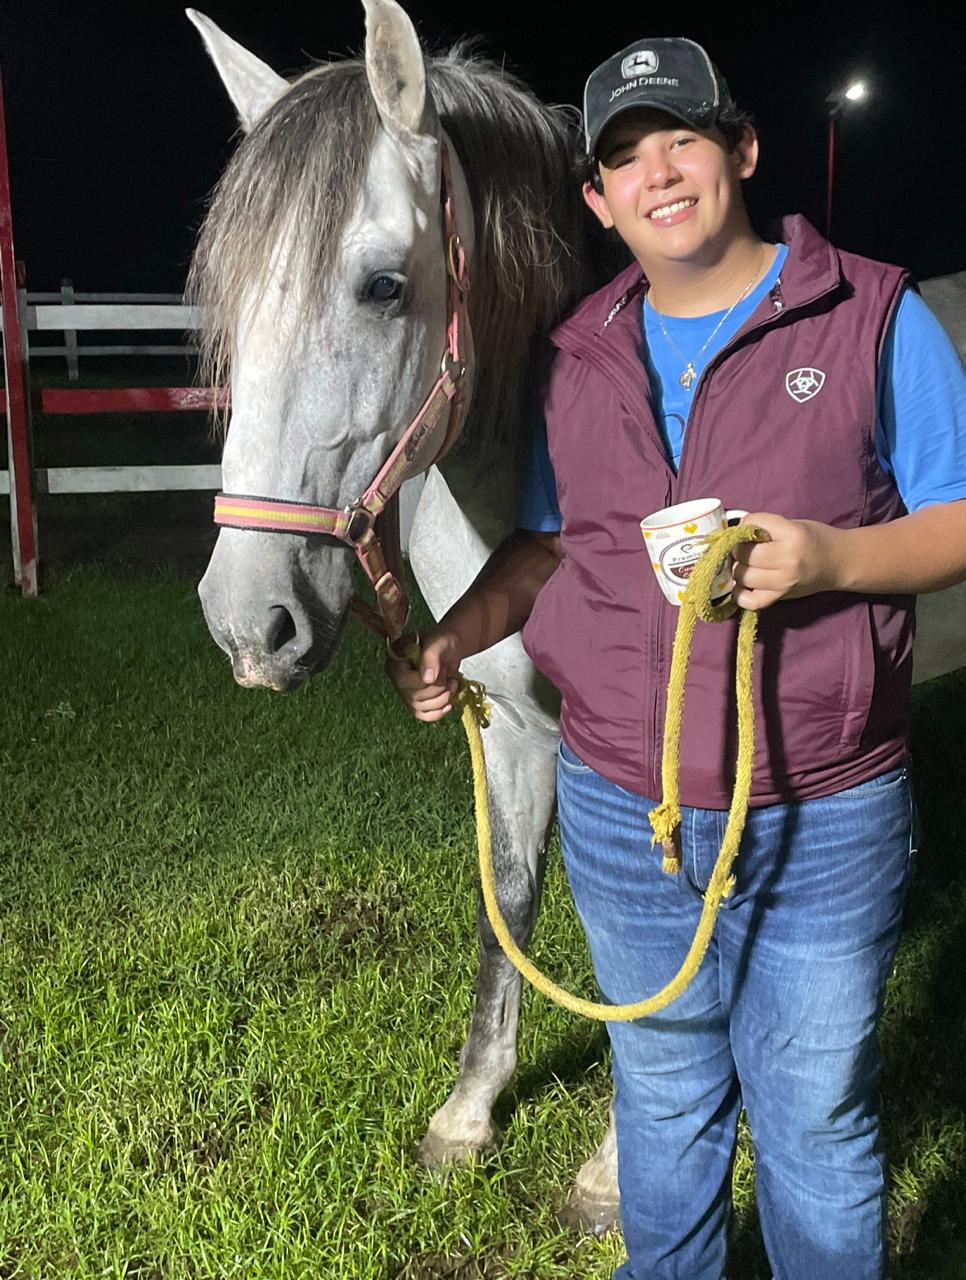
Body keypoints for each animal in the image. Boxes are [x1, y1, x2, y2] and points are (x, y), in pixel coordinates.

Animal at [188, 0, 621, 1232]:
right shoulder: (516, 729)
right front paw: (470, 1115)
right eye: (228, 297)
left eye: (384, 286)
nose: (250, 625)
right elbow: (507, 905)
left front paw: (620, 1171)